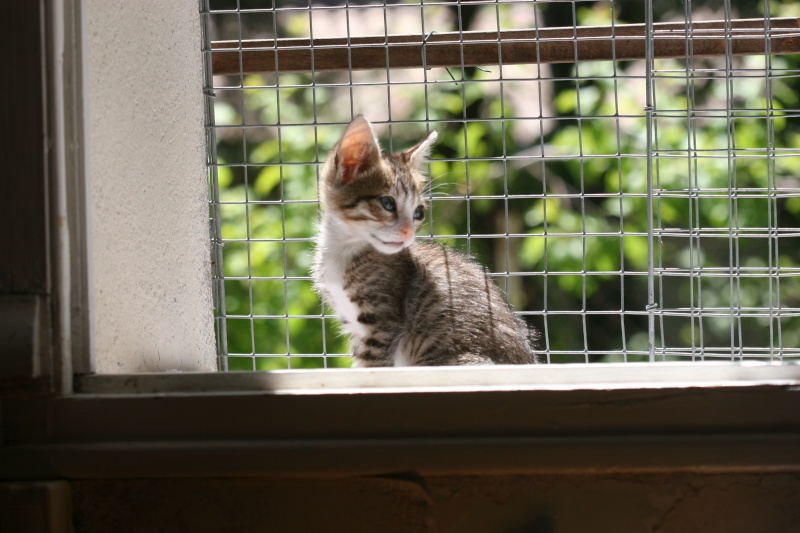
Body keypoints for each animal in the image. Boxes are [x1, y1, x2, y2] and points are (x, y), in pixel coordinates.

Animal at [312, 116, 536, 366]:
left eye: (418, 213)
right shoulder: (355, 324)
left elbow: (371, 366)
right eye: (387, 203)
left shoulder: (382, 323)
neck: (344, 249)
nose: (409, 233)